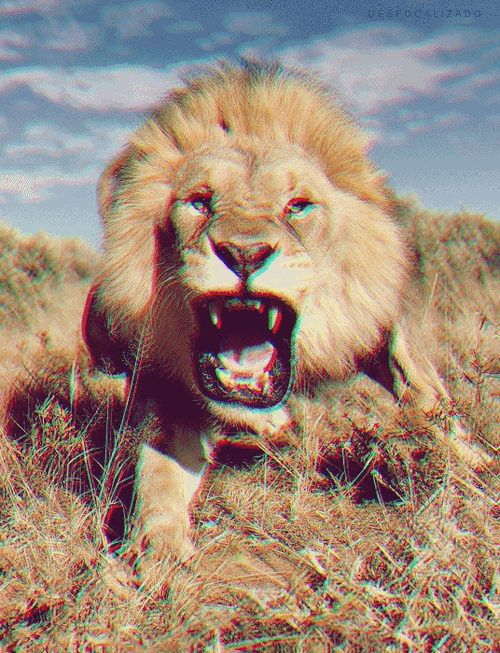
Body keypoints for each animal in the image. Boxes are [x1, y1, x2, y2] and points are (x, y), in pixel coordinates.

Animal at [82, 60, 491, 561]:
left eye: (298, 206)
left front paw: (472, 463)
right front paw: (156, 548)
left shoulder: (376, 321)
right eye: (199, 202)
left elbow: (425, 393)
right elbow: (159, 472)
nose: (244, 253)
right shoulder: (168, 383)